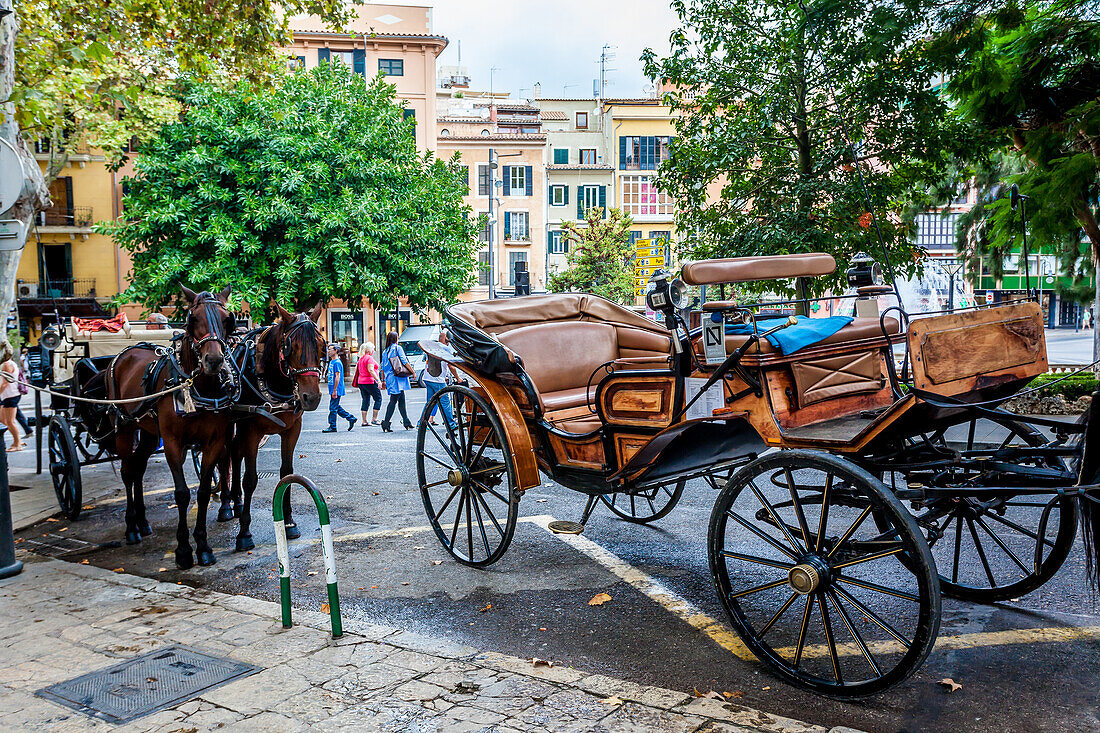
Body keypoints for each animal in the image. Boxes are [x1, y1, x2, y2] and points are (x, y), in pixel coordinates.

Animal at [106, 288, 237, 567]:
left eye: (226, 320)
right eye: (193, 319)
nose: (213, 360)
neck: (197, 387)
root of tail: (125, 353)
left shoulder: (214, 442)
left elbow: (202, 493)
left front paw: (203, 546)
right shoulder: (173, 443)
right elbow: (182, 494)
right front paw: (184, 550)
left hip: (147, 433)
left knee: (138, 469)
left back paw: (143, 522)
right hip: (124, 428)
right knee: (127, 472)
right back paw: (131, 527)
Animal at [215, 301, 325, 548]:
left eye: (321, 345)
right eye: (290, 346)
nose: (311, 397)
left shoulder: (292, 430)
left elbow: (286, 474)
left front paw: (289, 522)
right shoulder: (251, 431)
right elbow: (250, 479)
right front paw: (244, 533)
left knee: (235, 453)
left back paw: (237, 502)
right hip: (227, 425)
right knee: (225, 458)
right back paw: (226, 505)